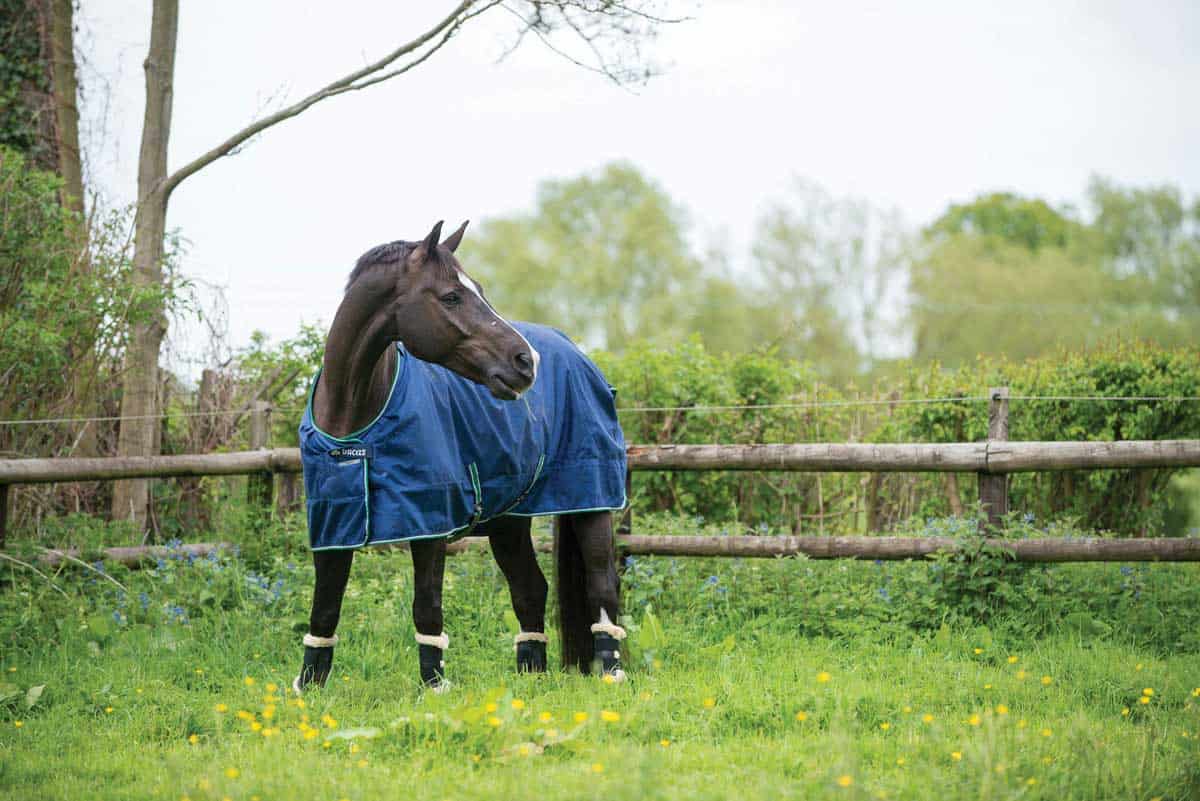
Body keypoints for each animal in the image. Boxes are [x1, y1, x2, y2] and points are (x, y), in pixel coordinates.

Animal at [294, 220, 628, 695]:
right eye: (451, 296)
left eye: (480, 290)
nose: (526, 362)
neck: (354, 421)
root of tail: (576, 353)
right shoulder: (333, 524)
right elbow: (324, 608)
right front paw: (309, 688)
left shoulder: (430, 525)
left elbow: (426, 606)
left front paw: (434, 686)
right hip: (508, 522)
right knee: (530, 589)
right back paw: (530, 677)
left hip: (591, 500)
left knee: (603, 584)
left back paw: (612, 673)